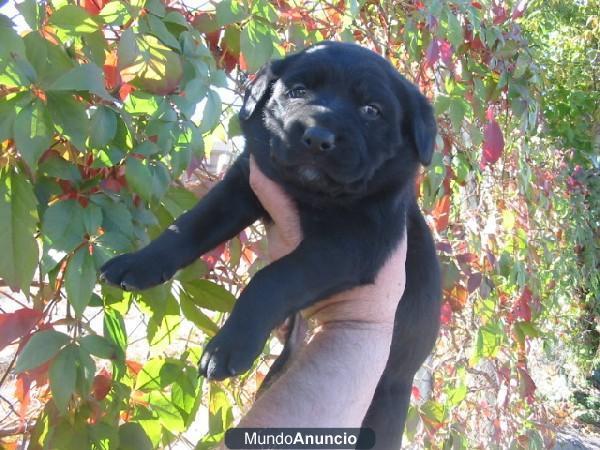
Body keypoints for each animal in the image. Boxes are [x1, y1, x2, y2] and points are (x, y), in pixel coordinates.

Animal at [101, 41, 440, 446]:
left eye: (371, 110)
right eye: (298, 91)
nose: (317, 138)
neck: (310, 194)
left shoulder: (352, 243)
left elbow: (274, 278)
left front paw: (227, 346)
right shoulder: (242, 185)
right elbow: (189, 226)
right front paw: (137, 262)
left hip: (387, 398)